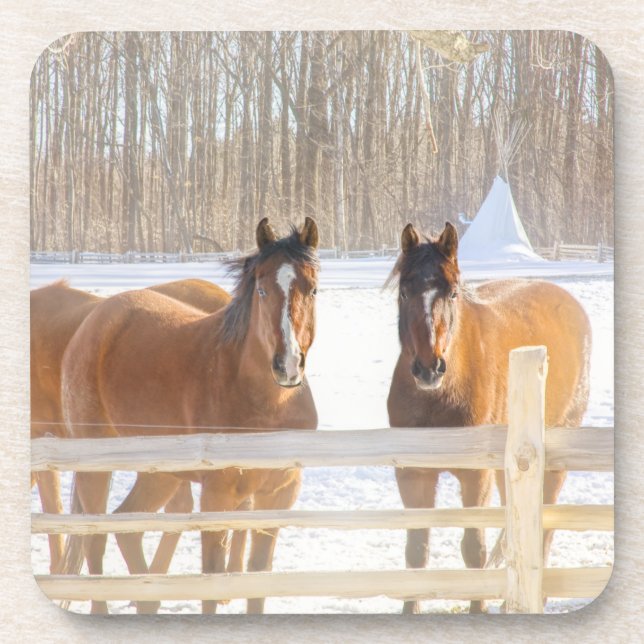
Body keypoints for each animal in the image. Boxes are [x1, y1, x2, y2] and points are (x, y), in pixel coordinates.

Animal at [60, 217, 319, 615]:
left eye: (313, 290)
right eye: (261, 290)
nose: (287, 365)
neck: (270, 407)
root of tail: (94, 320)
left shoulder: (279, 495)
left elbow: (258, 577)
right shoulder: (218, 496)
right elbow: (211, 581)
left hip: (160, 475)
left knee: (125, 526)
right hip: (96, 468)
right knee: (95, 541)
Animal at [387, 222, 591, 614]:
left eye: (452, 293)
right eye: (404, 292)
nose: (428, 368)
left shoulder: (474, 474)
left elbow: (473, 549)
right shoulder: (413, 474)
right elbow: (416, 550)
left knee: (544, 520)